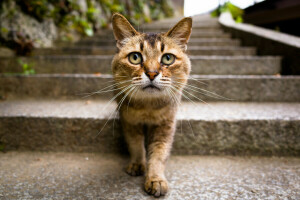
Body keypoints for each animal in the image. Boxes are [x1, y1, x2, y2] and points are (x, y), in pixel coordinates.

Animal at [110, 12, 192, 197]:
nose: (152, 73)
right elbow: (135, 145)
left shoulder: (165, 125)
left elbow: (159, 155)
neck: (148, 107)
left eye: (168, 58)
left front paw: (156, 180)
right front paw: (137, 164)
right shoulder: (129, 121)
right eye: (135, 57)